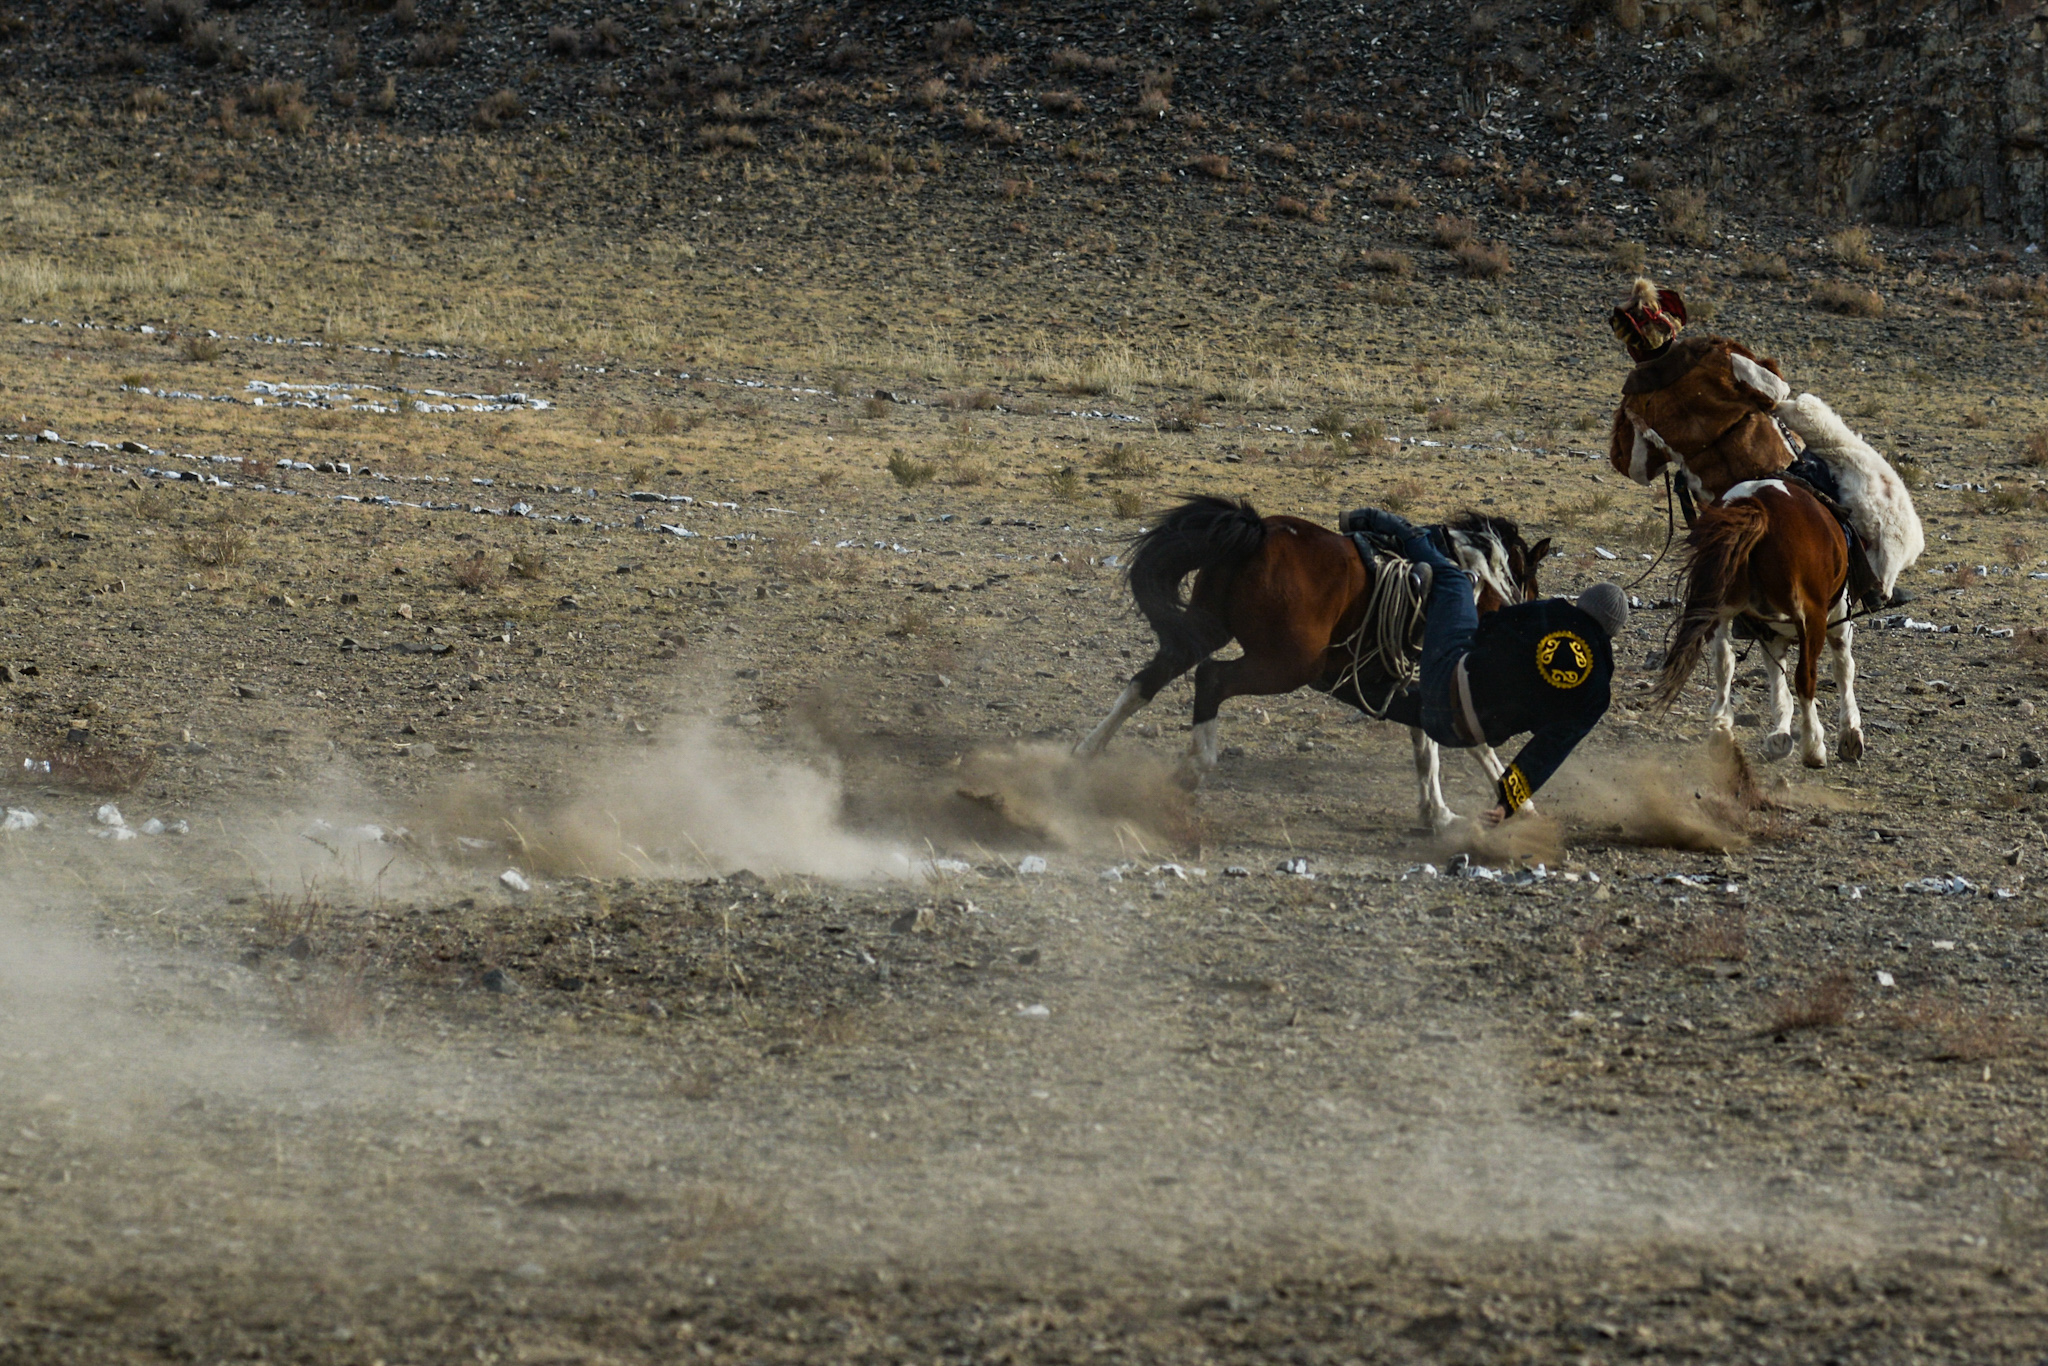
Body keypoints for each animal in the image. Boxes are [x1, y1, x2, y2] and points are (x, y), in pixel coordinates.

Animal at [1638, 479, 1867, 757]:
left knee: (1723, 662)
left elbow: (1776, 675)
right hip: (1811, 617)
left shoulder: (1770, 633)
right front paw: (1850, 733)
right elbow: (1843, 669)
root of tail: (1756, 504)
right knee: (1806, 677)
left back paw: (1721, 726)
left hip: (1719, 610)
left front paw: (1780, 733)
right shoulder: (1836, 621)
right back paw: (1813, 746)